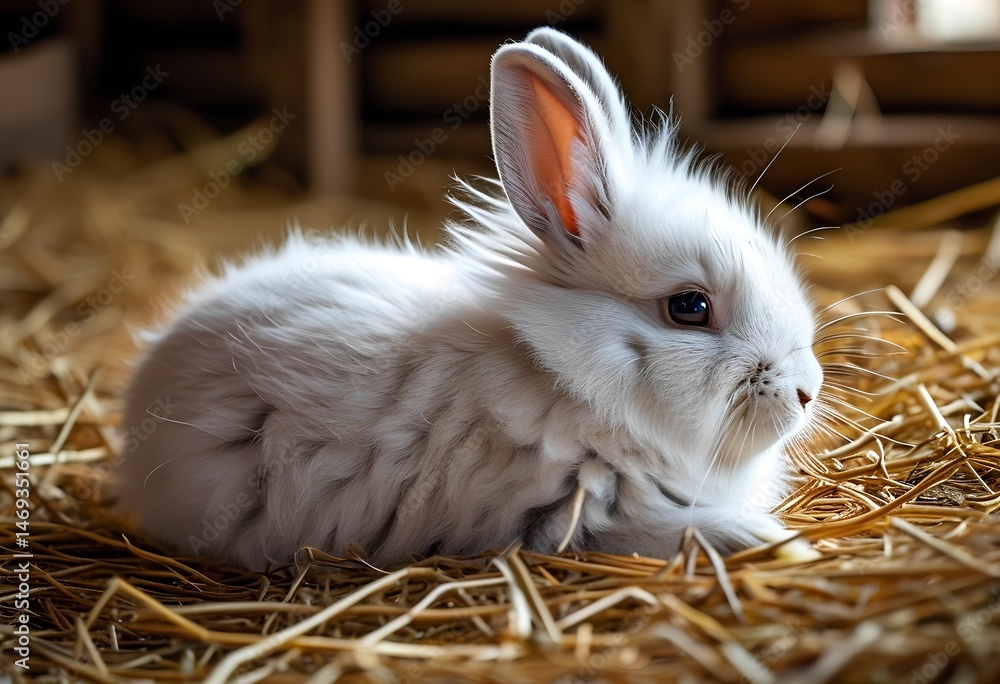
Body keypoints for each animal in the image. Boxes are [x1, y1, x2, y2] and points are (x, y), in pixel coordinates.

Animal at [118, 27, 824, 571]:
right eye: (689, 307)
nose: (806, 391)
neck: (565, 377)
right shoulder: (566, 517)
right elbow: (667, 530)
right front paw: (772, 543)